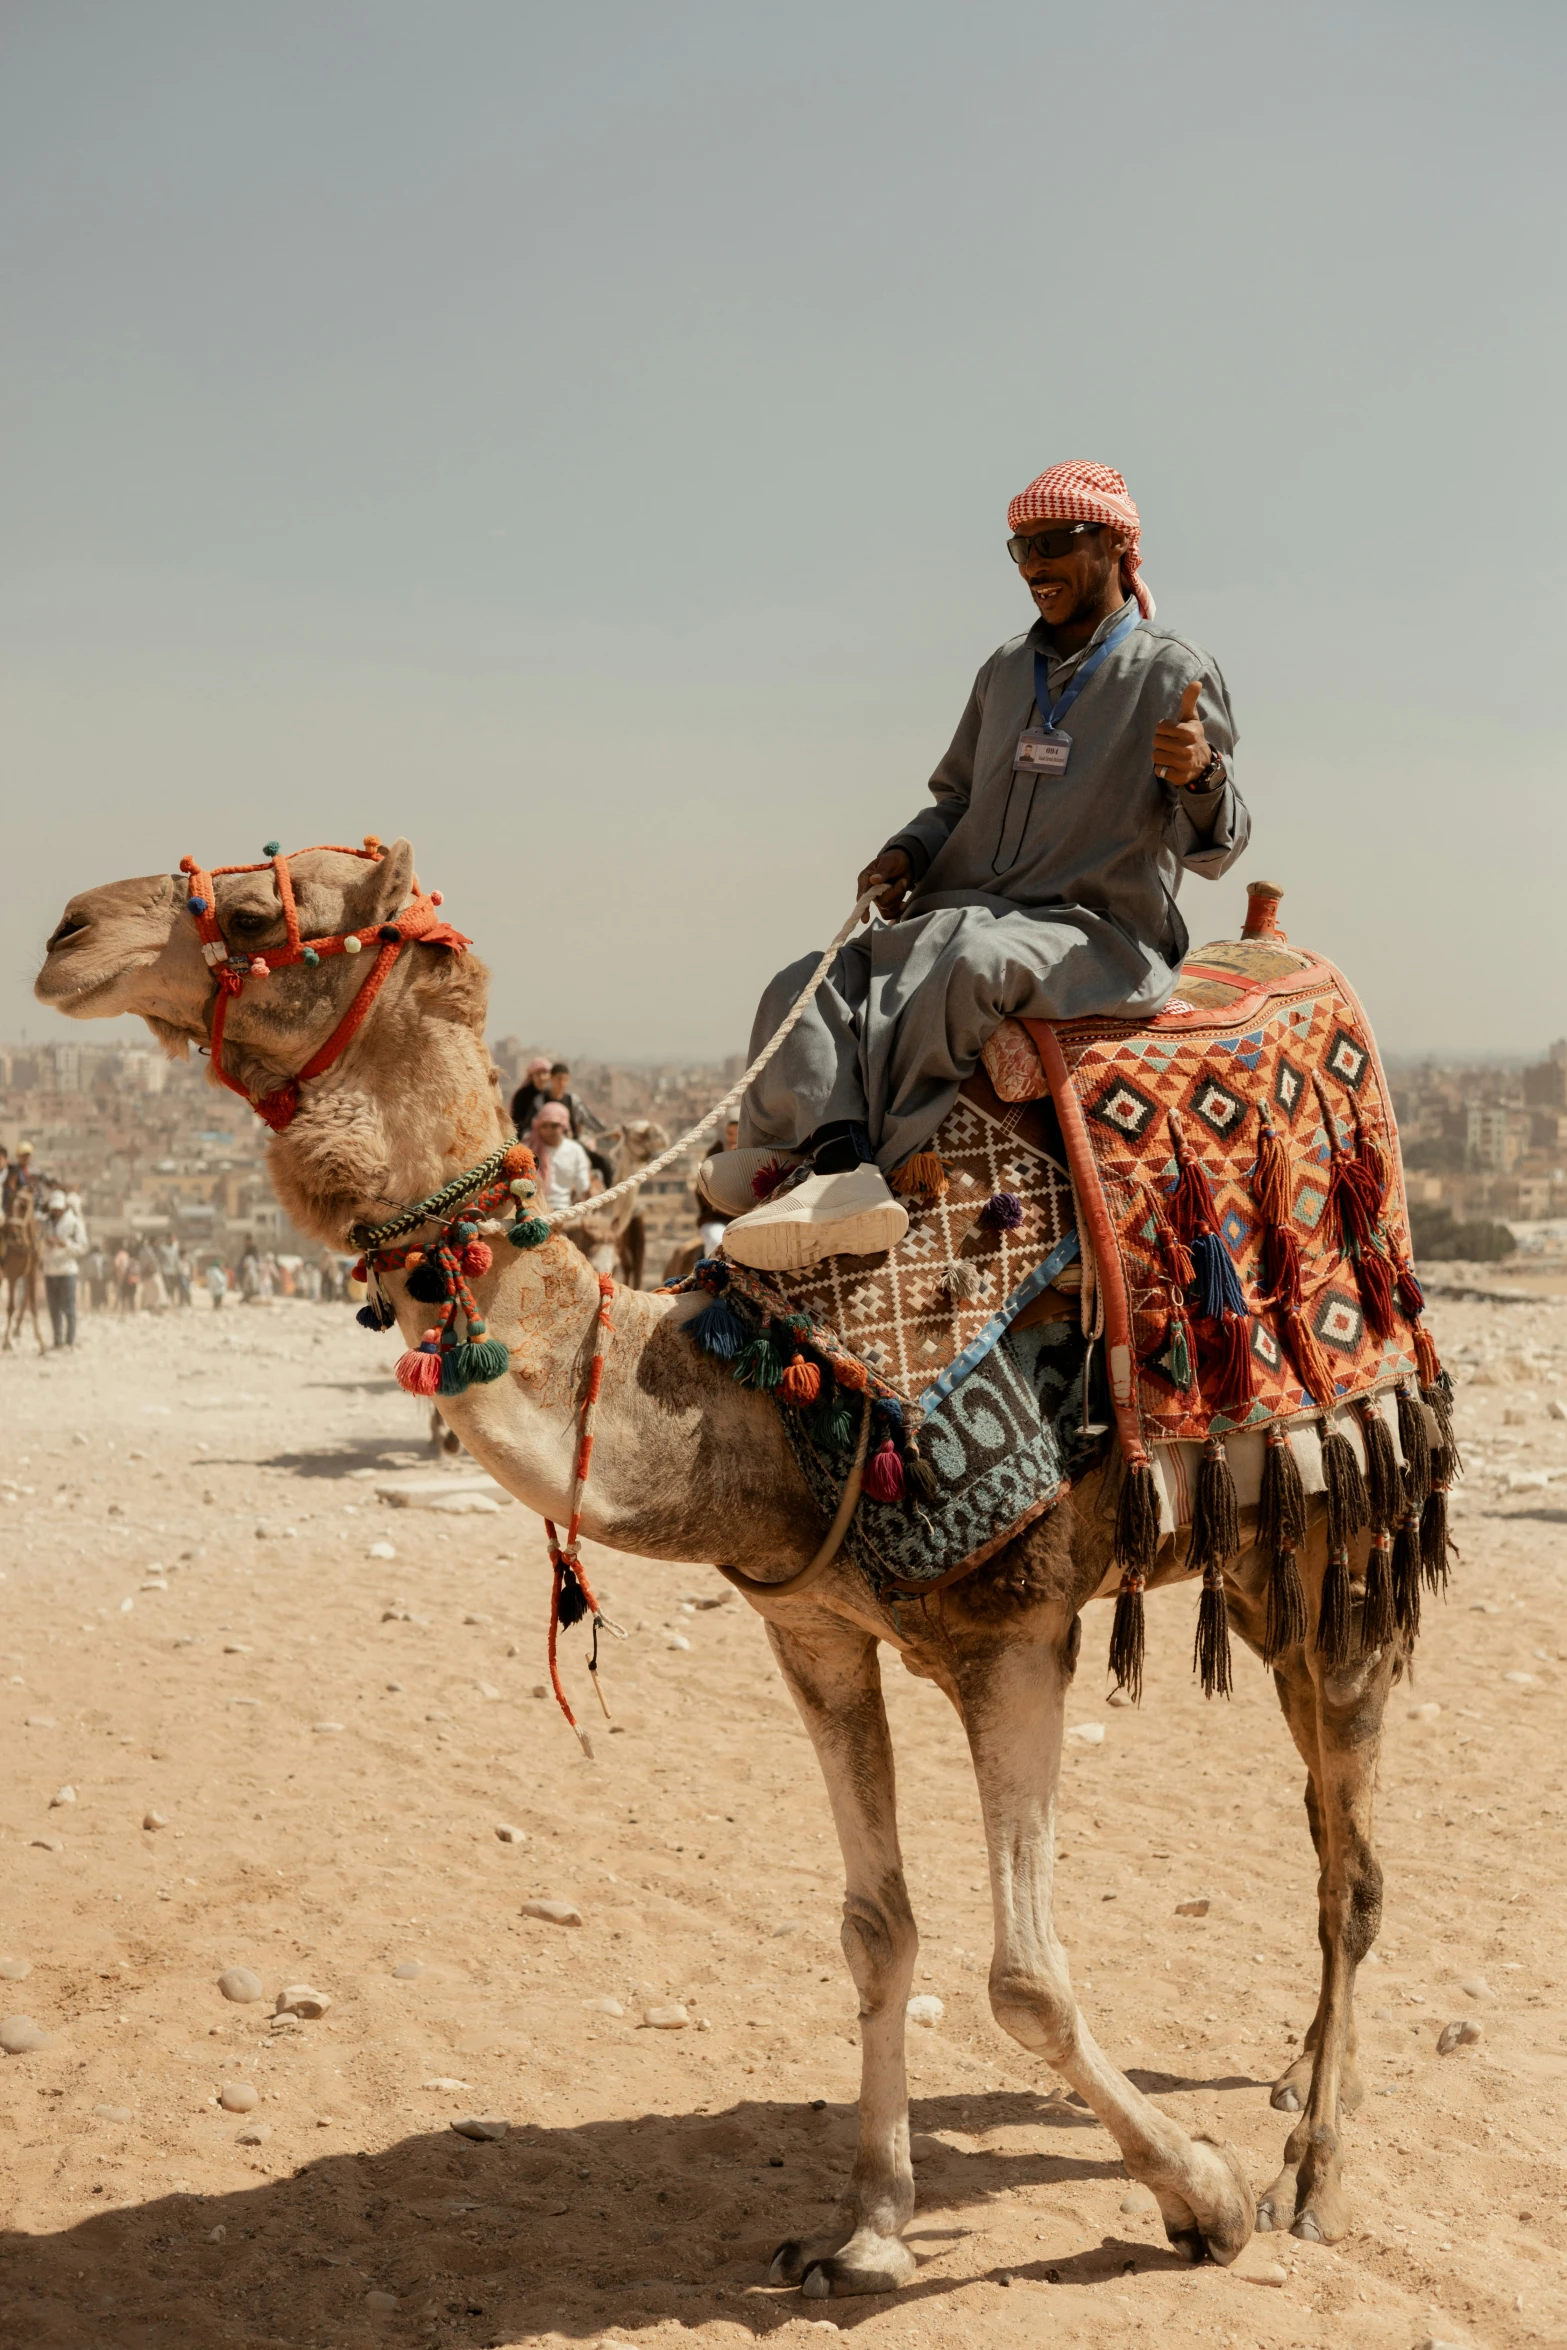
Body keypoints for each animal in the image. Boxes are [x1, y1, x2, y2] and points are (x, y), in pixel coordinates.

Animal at [2, 1193, 46, 1363]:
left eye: (23, 1206)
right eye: (8, 1203)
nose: (13, 1233)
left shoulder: (31, 1273)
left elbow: (33, 1306)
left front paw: (41, 1344)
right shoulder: (12, 1275)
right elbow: (10, 1307)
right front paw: (6, 1342)